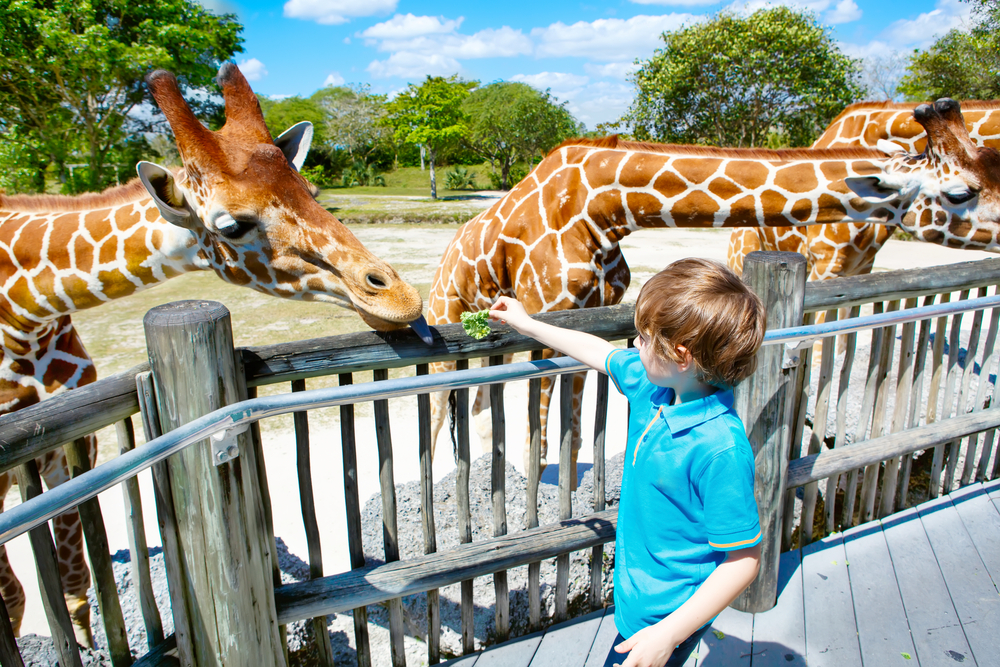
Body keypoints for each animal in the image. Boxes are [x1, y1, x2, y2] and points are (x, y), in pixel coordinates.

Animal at [0, 62, 426, 648]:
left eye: (312, 190)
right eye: (231, 225)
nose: (399, 298)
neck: (25, 309)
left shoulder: (65, 439)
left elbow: (70, 575)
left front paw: (84, 639)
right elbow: (18, 594)